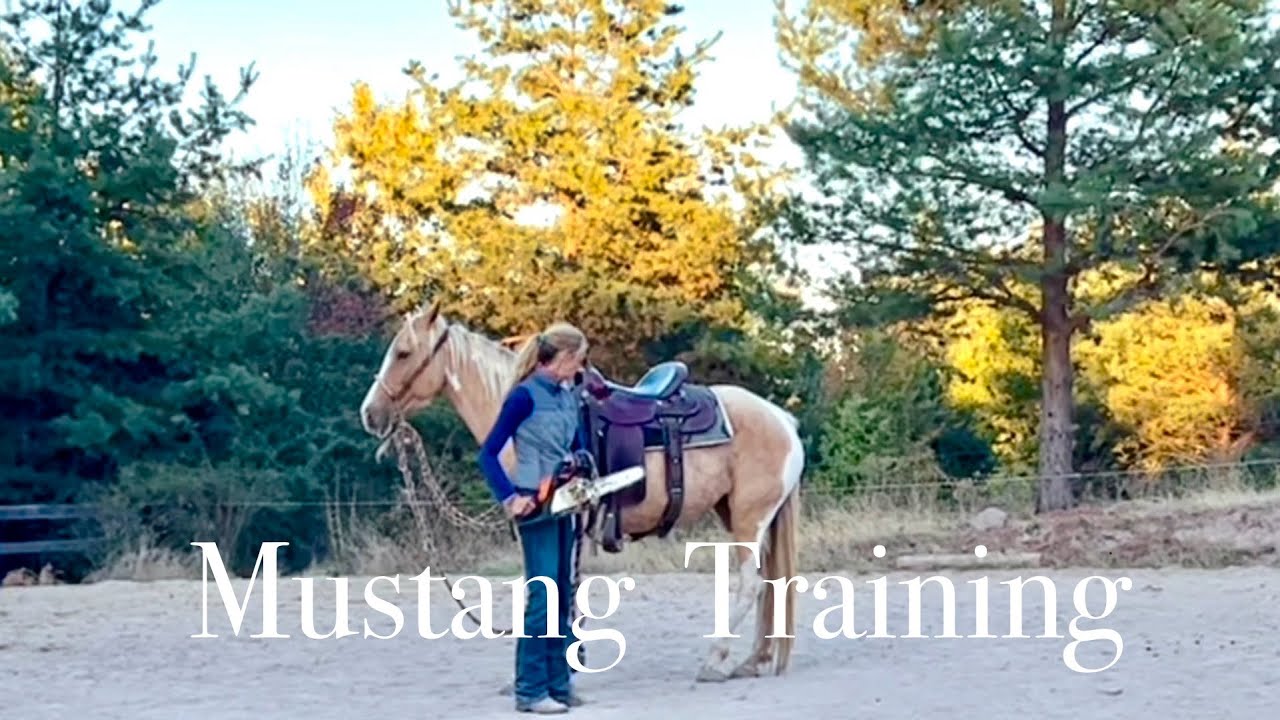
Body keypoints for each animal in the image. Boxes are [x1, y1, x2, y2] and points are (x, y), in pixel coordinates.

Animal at [357, 299, 805, 682]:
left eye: (403, 353)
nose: (369, 413)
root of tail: (782, 419)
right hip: (743, 516)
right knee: (769, 585)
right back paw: (754, 660)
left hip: (749, 518)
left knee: (750, 584)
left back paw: (715, 660)